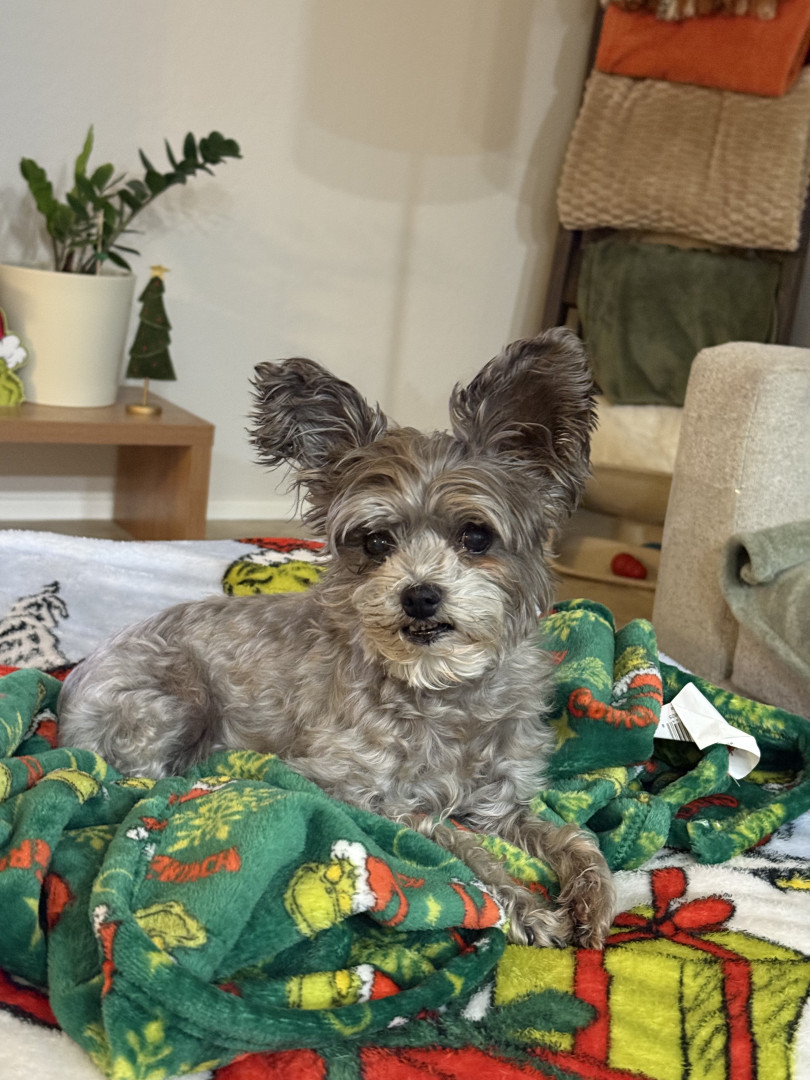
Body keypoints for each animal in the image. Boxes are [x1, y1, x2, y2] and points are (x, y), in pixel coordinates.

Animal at [58, 327, 615, 948]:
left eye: (476, 536)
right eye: (375, 542)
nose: (419, 595)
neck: (440, 687)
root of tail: (74, 678)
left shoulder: (502, 798)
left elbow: (573, 837)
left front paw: (593, 896)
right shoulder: (355, 789)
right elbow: (457, 842)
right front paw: (526, 906)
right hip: (175, 700)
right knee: (139, 781)